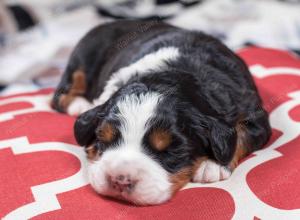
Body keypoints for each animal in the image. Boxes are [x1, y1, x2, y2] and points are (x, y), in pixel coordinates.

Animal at [51, 19, 272, 205]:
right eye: (103, 139)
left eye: (172, 151)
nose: (120, 180)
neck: (173, 74)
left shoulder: (256, 118)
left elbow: (239, 135)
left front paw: (212, 165)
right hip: (82, 57)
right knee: (60, 94)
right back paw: (79, 105)